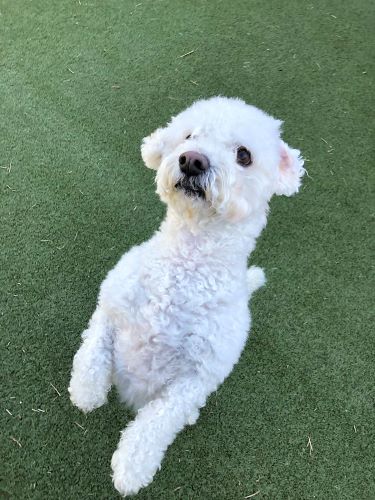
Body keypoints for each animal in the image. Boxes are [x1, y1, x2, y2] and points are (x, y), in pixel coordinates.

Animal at [68, 95, 306, 494]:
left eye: (244, 155)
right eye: (189, 135)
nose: (192, 160)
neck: (184, 267)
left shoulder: (196, 379)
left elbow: (156, 423)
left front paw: (132, 467)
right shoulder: (111, 304)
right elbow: (92, 349)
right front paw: (87, 391)